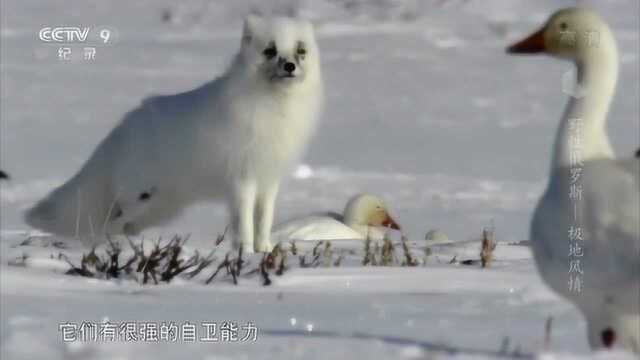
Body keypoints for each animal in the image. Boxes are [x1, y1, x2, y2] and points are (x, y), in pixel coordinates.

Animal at [25, 14, 324, 253]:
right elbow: (245, 225)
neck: (277, 111)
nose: (289, 66)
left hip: (162, 208)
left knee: (124, 225)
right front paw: (247, 253)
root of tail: (123, 128)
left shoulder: (269, 179)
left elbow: (264, 222)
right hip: (142, 196)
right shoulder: (242, 180)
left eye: (301, 50)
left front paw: (266, 250)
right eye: (270, 51)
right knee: (111, 224)